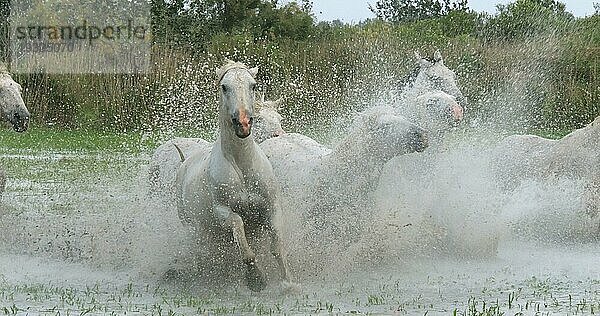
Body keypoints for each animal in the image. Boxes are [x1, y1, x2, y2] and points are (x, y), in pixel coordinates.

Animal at [175, 60, 290, 292]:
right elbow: (240, 231)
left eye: (253, 85)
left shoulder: (272, 207)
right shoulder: (222, 212)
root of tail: (185, 164)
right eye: (224, 87)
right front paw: (256, 279)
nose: (243, 123)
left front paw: (287, 282)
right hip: (194, 229)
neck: (242, 164)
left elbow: (276, 248)